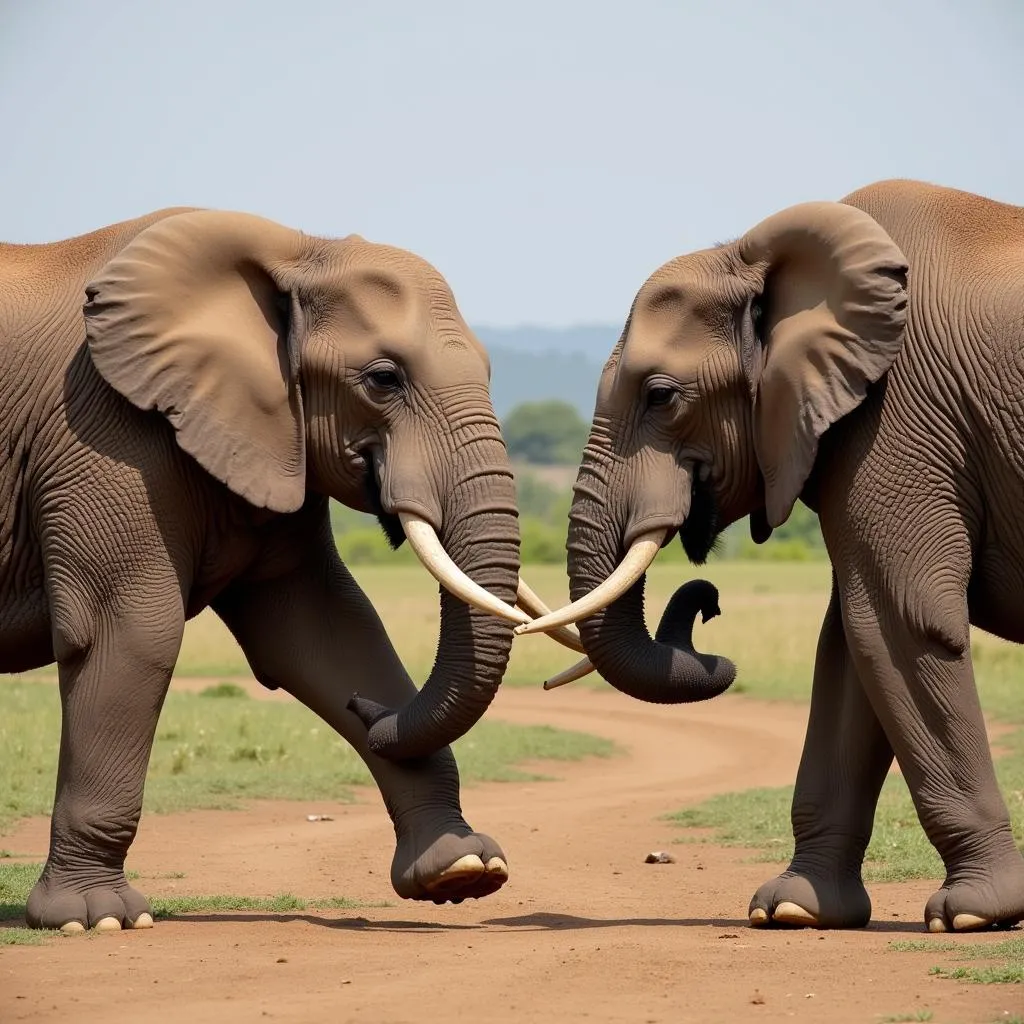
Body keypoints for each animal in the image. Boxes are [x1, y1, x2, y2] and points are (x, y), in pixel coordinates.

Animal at [0, 209, 581, 937]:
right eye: (383, 379)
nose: (370, 711)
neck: (299, 251)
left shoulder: (273, 439)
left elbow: (327, 631)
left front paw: (463, 872)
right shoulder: (103, 432)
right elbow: (133, 632)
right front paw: (93, 919)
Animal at [520, 180, 1024, 933]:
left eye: (661, 396)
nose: (708, 608)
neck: (755, 257)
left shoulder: (899, 415)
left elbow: (901, 625)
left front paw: (972, 916)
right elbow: (852, 644)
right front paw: (792, 910)